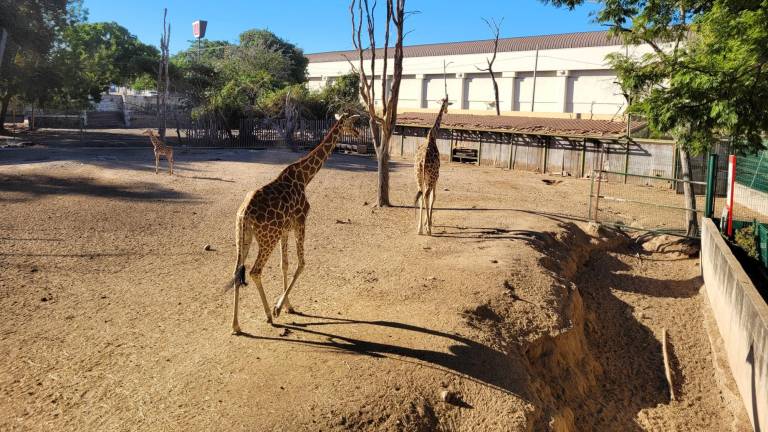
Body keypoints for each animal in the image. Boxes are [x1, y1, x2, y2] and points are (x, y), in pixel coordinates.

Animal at [230, 112, 358, 334]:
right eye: (351, 123)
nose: (358, 133)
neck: (305, 177)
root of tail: (244, 214)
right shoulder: (301, 222)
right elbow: (301, 263)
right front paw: (279, 308)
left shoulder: (285, 230)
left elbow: (285, 265)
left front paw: (288, 305)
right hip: (267, 239)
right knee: (255, 271)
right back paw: (268, 315)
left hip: (243, 237)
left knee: (237, 271)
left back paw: (236, 325)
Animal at [414, 97, 450, 236]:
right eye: (447, 103)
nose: (446, 110)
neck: (433, 136)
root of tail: (423, 161)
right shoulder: (436, 176)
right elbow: (434, 197)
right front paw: (428, 224)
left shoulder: (426, 177)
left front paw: (425, 224)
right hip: (431, 176)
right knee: (426, 194)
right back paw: (428, 229)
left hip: (418, 175)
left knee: (421, 194)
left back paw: (419, 229)